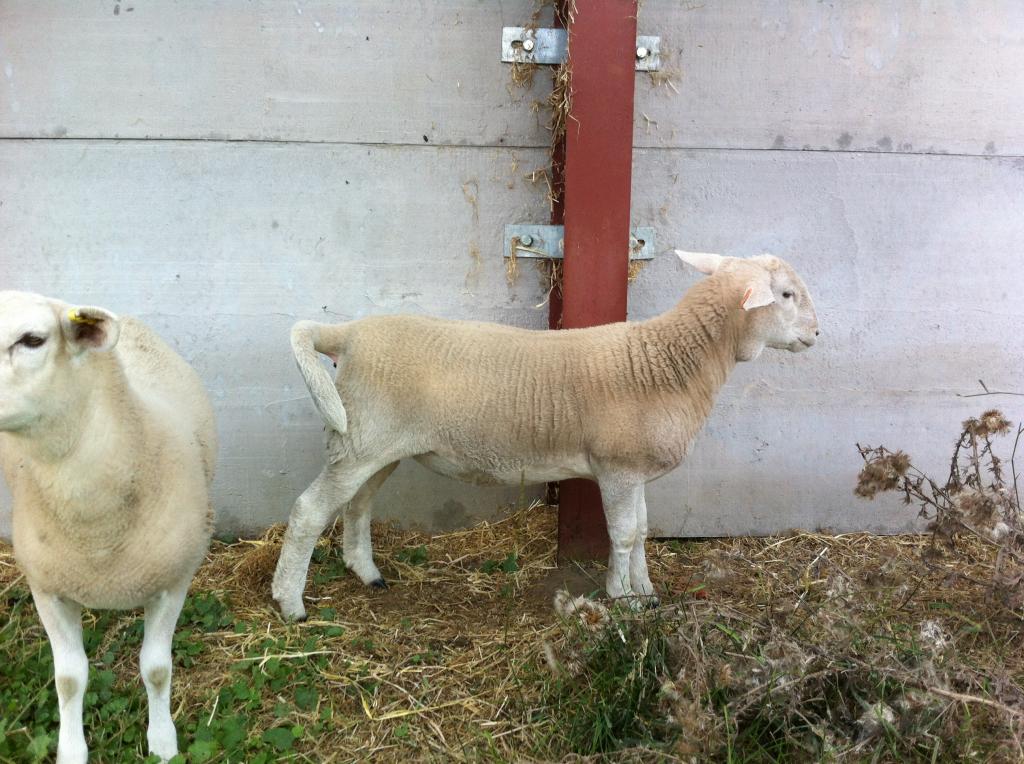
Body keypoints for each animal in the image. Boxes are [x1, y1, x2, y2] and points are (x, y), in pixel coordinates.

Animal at [0, 291, 216, 764]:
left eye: (32, 339)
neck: (97, 535)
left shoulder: (173, 582)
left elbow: (156, 669)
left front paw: (163, 741)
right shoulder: (47, 588)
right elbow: (69, 679)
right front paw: (72, 750)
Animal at [272, 251, 819, 620]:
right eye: (786, 295)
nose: (817, 334)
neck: (666, 361)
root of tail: (345, 336)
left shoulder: (636, 469)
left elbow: (643, 531)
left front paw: (645, 592)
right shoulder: (617, 468)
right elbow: (623, 534)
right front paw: (622, 597)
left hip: (375, 444)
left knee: (357, 505)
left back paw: (366, 573)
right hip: (358, 438)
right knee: (307, 512)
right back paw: (290, 602)